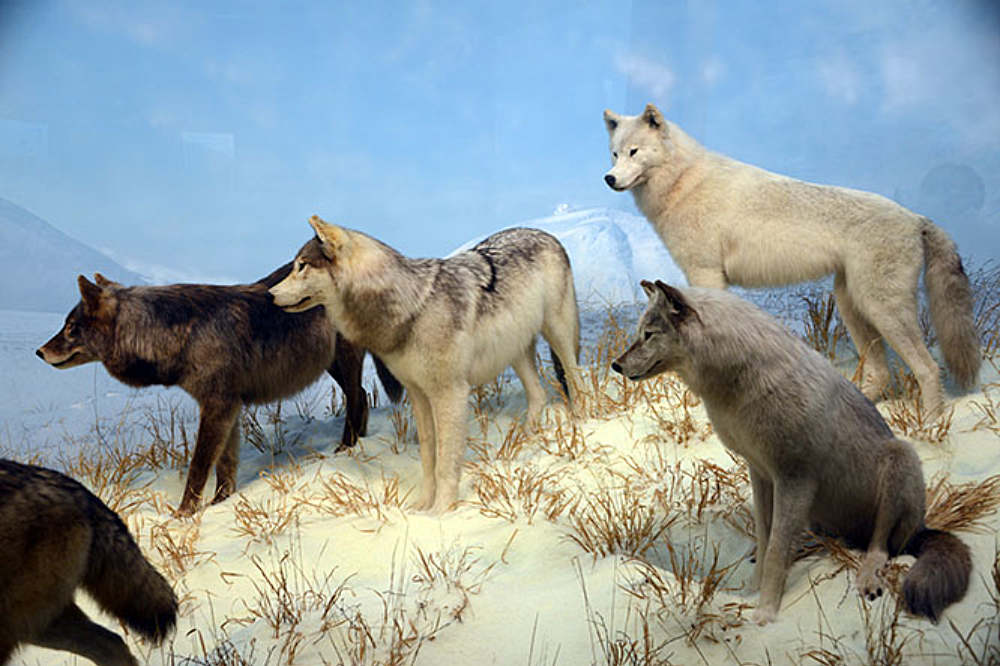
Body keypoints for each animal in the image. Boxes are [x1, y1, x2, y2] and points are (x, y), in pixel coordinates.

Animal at [37, 263, 403, 516]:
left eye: (71, 328)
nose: (39, 352)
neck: (179, 335)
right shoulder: (228, 408)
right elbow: (225, 466)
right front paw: (220, 504)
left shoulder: (217, 407)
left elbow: (199, 467)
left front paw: (183, 516)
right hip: (333, 366)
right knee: (363, 398)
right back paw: (357, 444)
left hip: (342, 361)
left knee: (356, 401)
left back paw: (347, 449)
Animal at [269, 215, 583, 513]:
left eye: (301, 266)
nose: (270, 295)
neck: (412, 310)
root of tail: (545, 233)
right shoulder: (419, 396)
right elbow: (429, 459)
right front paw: (422, 507)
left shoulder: (450, 395)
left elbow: (445, 464)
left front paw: (442, 511)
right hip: (515, 352)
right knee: (538, 395)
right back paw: (525, 440)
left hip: (558, 334)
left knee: (575, 380)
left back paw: (581, 422)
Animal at [603, 104, 980, 416]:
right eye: (615, 154)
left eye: (634, 152)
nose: (609, 178)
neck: (683, 183)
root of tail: (917, 218)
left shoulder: (706, 274)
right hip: (854, 306)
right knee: (881, 372)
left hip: (881, 309)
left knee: (928, 368)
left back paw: (931, 427)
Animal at [611, 280, 972, 625]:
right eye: (639, 332)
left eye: (648, 334)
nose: (615, 365)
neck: (738, 380)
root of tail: (923, 530)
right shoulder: (761, 474)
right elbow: (765, 539)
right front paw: (751, 592)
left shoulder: (794, 480)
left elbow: (775, 551)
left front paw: (765, 614)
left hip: (900, 459)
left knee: (880, 548)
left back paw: (867, 577)